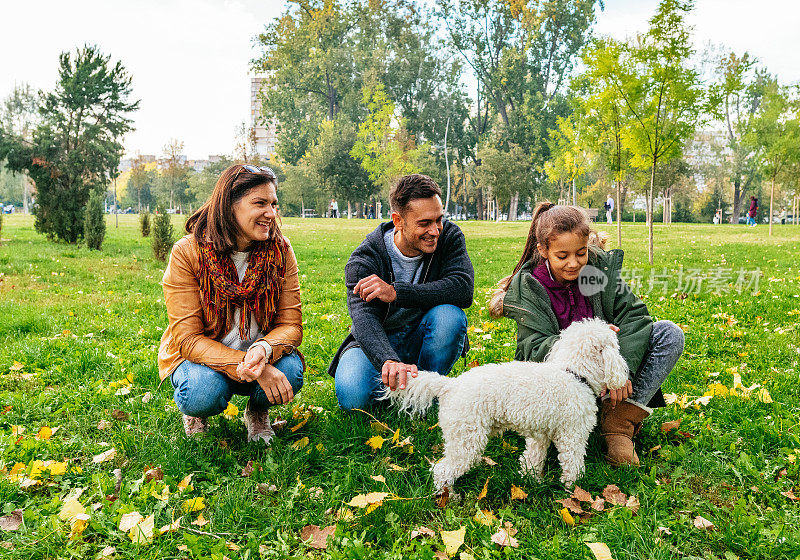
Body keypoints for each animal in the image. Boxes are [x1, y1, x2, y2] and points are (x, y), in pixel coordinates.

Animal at [382, 320, 632, 490]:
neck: (574, 373)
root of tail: (450, 385)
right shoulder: (572, 435)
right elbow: (573, 464)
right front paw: (574, 490)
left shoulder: (540, 436)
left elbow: (532, 459)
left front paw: (531, 480)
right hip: (467, 438)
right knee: (442, 470)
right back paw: (447, 496)